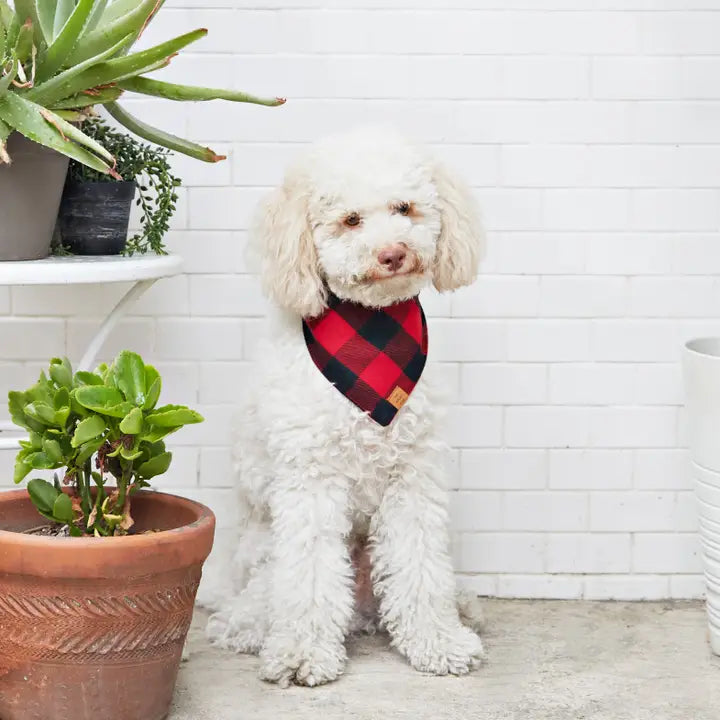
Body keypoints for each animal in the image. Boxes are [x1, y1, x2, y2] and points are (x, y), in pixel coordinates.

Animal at [205, 125, 486, 688]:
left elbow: (421, 565)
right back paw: (250, 631)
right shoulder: (312, 480)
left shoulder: (412, 477)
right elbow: (310, 576)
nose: (393, 253)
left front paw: (439, 642)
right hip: (263, 561)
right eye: (351, 219)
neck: (373, 332)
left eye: (404, 208)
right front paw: (301, 654)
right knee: (249, 610)